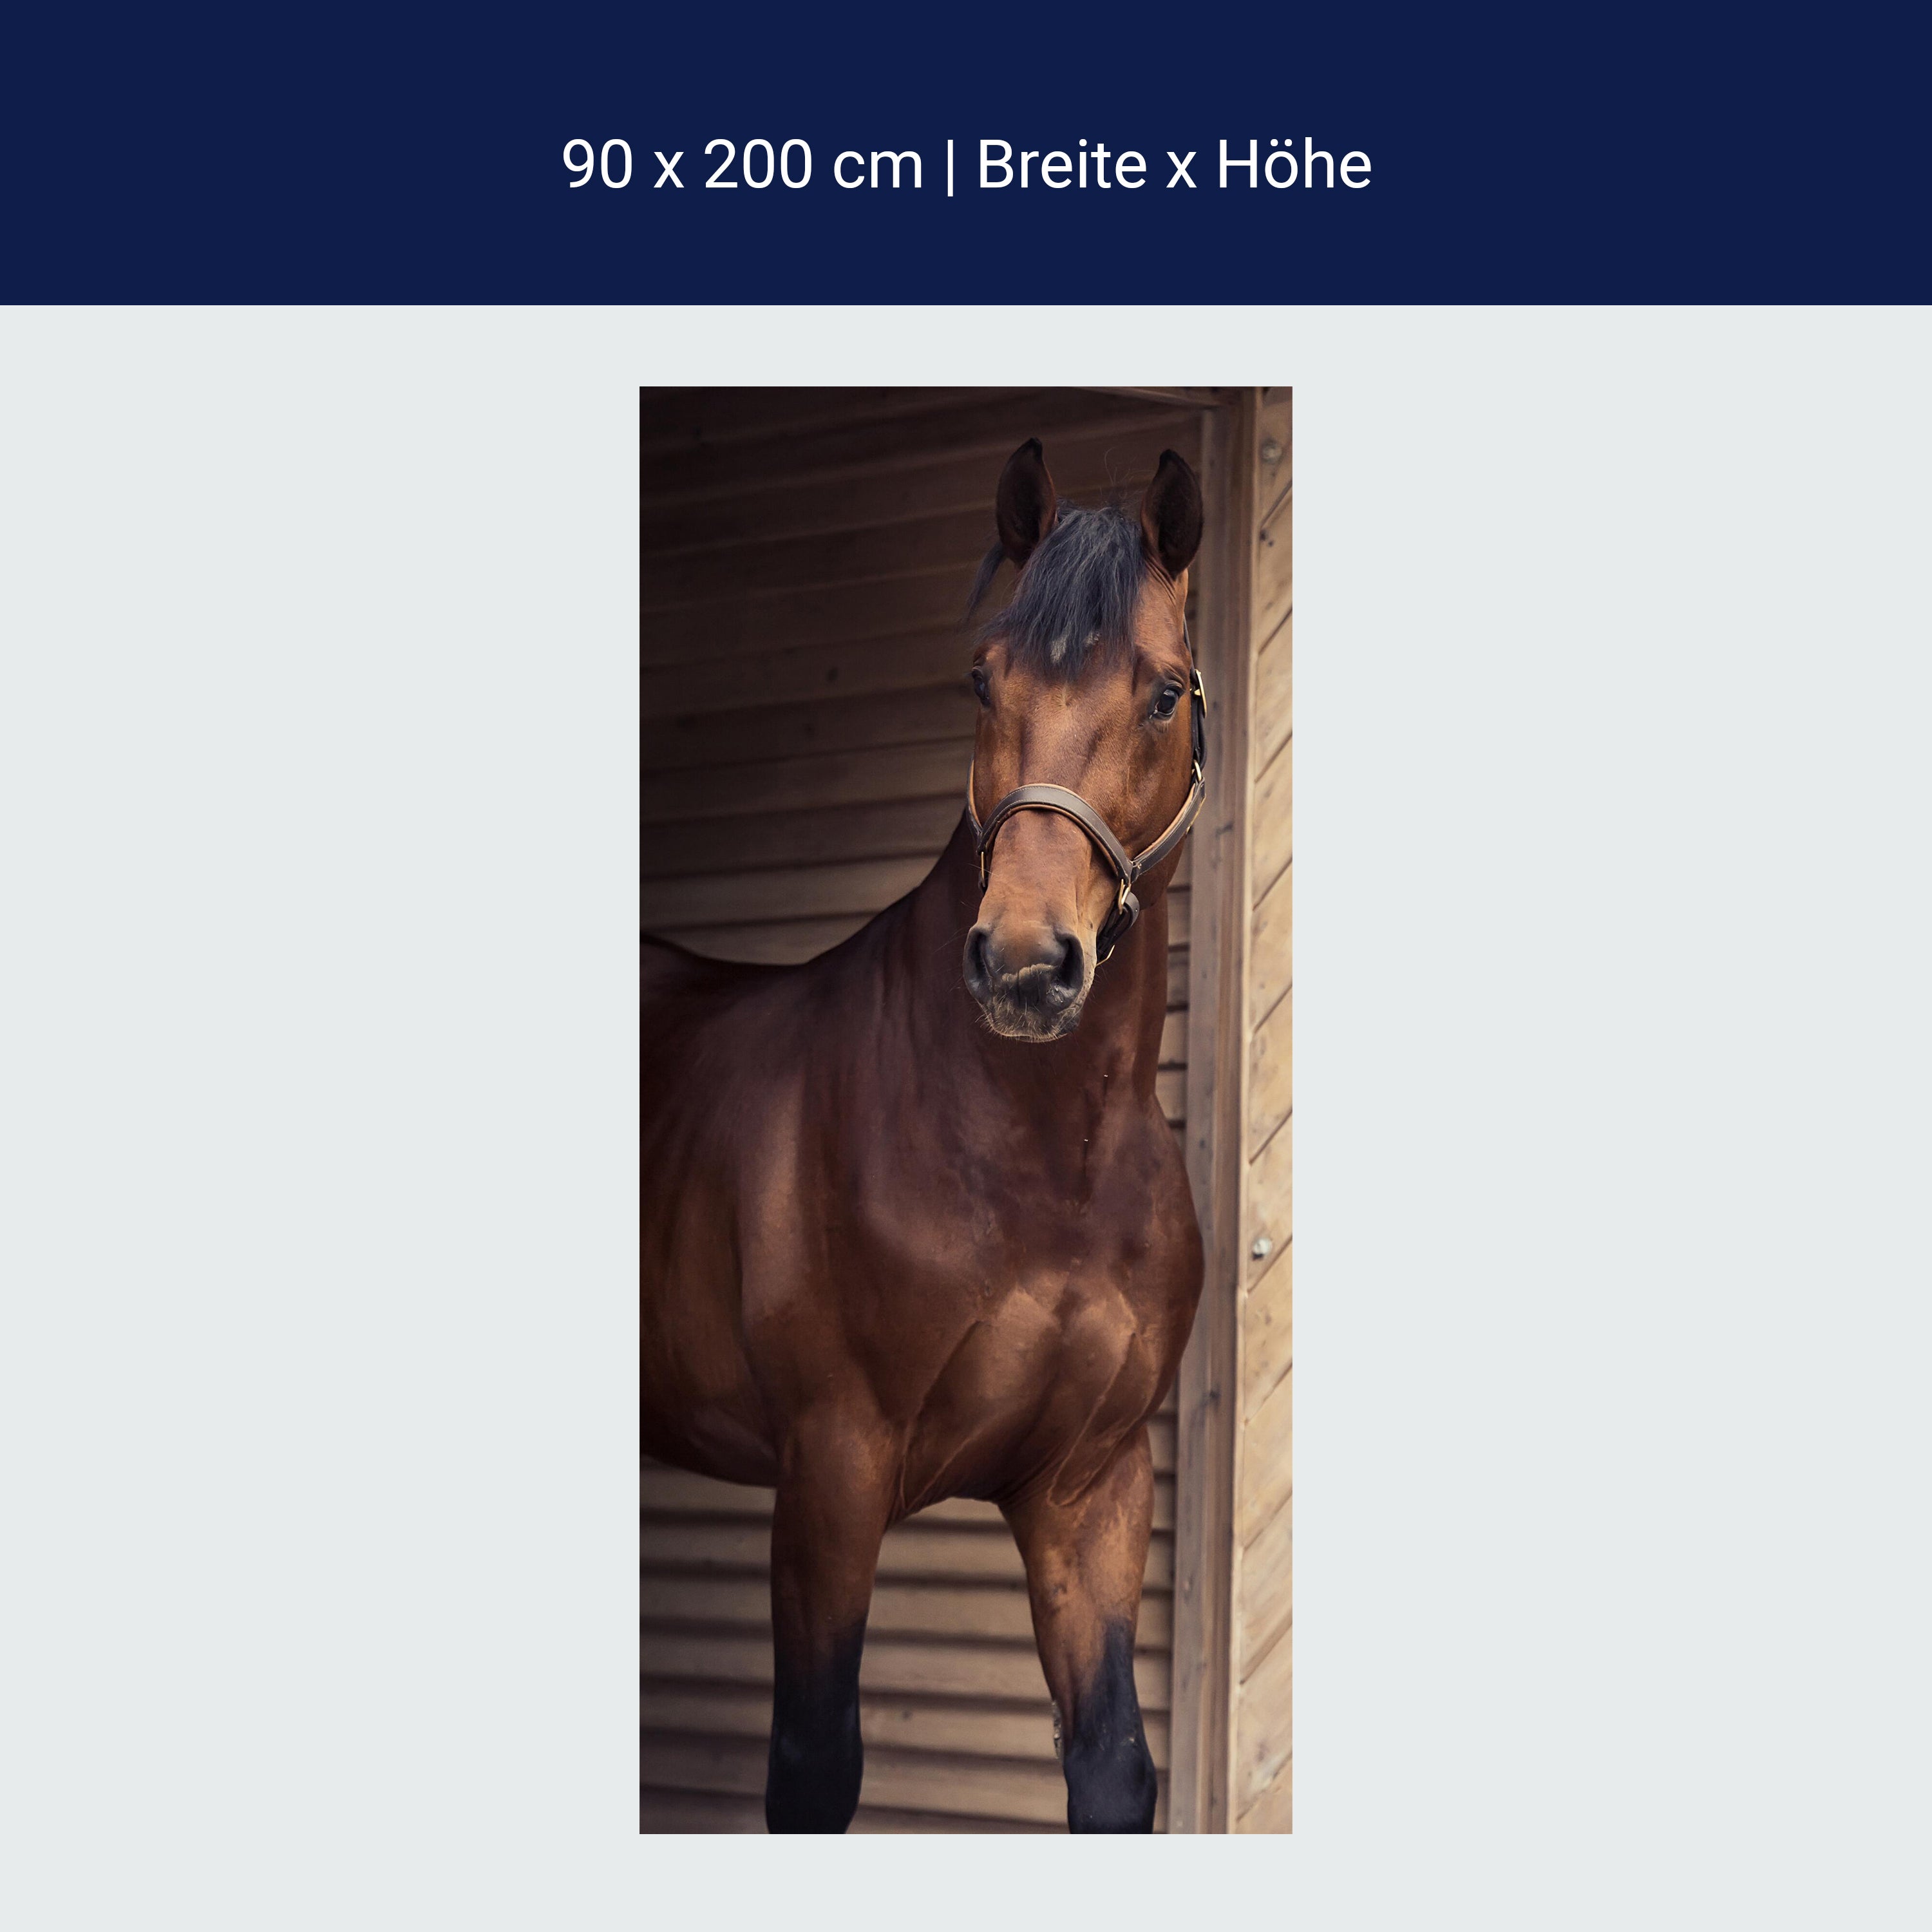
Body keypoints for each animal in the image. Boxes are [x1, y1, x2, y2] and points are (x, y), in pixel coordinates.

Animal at [641, 438, 1208, 1833]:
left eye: (1166, 691)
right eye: (982, 677)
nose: (1024, 965)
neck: (1040, 1156)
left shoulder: (1090, 1489)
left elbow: (1112, 1768)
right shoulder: (833, 1473)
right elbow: (814, 1766)